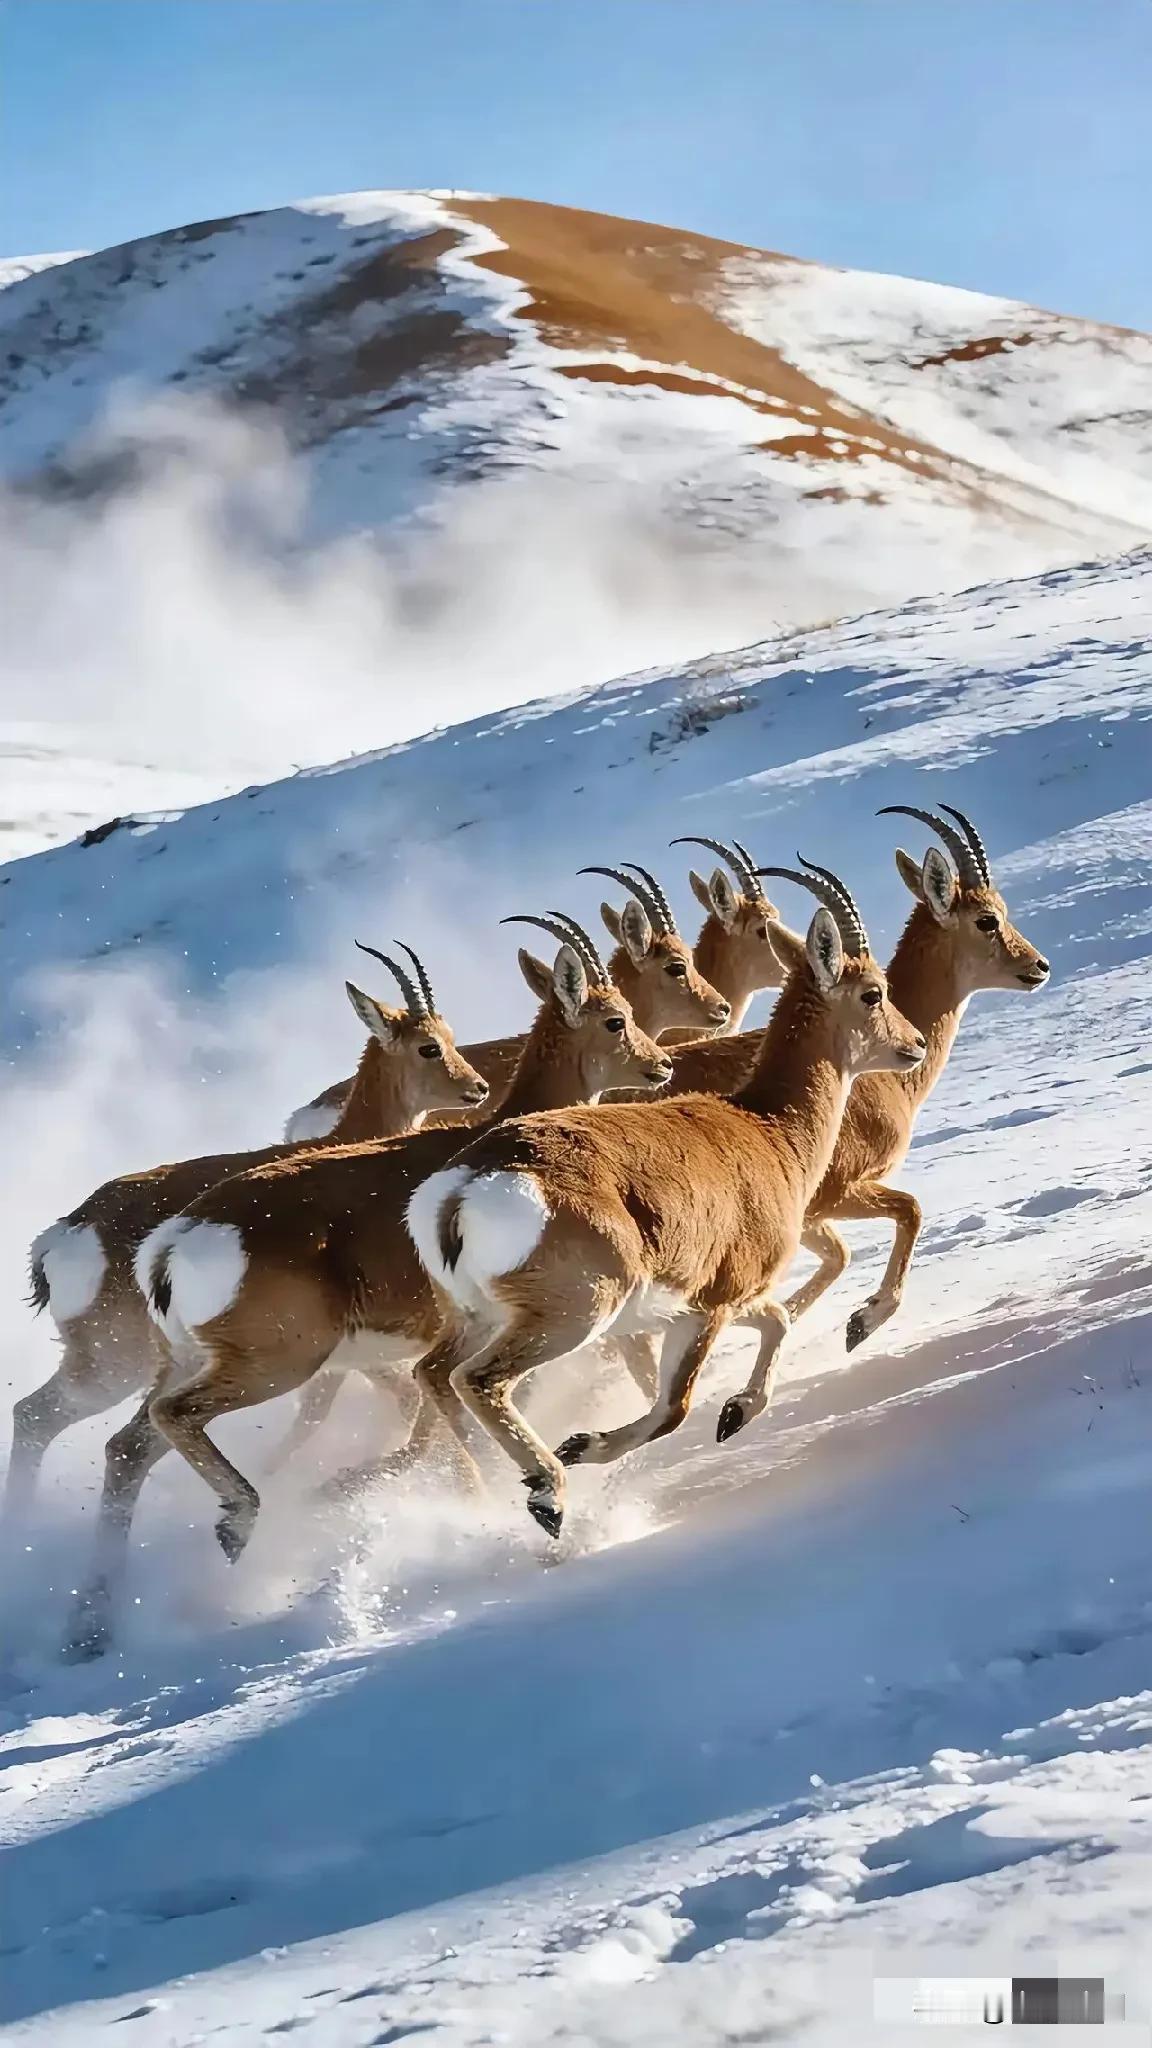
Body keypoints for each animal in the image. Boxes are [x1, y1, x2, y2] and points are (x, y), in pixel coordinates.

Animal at [6, 945, 488, 1525]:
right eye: (428, 1046)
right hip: (114, 1368)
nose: (479, 1088)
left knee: (54, 1421)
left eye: (452, 1036)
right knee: (54, 1420)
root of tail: (63, 1234)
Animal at [65, 918, 674, 1656]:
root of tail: (176, 1239)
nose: (661, 1066)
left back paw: (94, 1626)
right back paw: (238, 1524)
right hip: (275, 1366)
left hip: (190, 1364)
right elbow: (452, 1415)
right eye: (616, 1019)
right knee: (173, 1420)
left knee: (128, 1447)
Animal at [400, 862, 926, 1539]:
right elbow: (675, 1405)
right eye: (872, 992)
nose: (914, 1043)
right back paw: (549, 1494)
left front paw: (736, 1412)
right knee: (481, 1382)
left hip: (476, 1317)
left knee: (437, 1374)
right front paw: (584, 1446)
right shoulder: (708, 1307)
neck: (767, 1128)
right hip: (573, 1317)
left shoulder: (694, 1307)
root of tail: (469, 1183)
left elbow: (776, 1322)